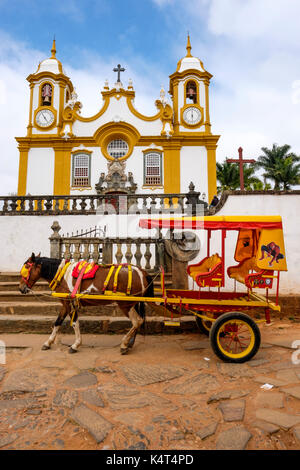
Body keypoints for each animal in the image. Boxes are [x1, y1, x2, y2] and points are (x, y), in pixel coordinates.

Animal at [18, 253, 155, 352]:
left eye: (26, 268)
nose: (21, 288)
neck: (62, 274)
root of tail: (142, 272)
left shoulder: (70, 303)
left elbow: (74, 323)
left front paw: (75, 345)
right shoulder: (65, 303)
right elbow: (57, 322)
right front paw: (48, 342)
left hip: (125, 304)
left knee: (137, 321)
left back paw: (124, 344)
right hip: (133, 303)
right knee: (139, 321)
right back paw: (130, 343)